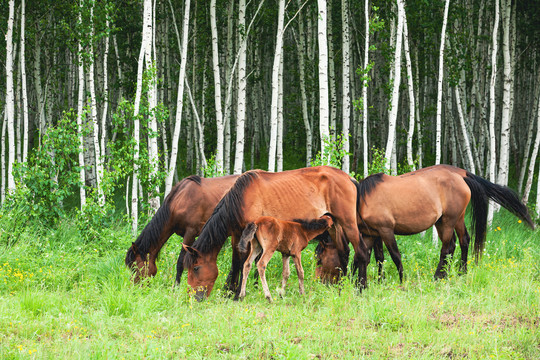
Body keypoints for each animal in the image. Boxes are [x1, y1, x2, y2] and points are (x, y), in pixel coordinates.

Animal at [184, 166, 370, 300]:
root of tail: (349, 178)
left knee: (361, 252)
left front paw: (236, 293)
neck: (241, 199)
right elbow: (237, 263)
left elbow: (244, 263)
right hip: (333, 224)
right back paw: (341, 286)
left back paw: (361, 289)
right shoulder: (237, 236)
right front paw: (228, 292)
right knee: (344, 252)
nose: (194, 297)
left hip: (348, 223)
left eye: (196, 268)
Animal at [316, 164, 532, 282]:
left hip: (448, 221)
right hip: (452, 220)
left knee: (447, 247)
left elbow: (394, 256)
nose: (320, 281)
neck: (361, 199)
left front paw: (401, 280)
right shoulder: (370, 234)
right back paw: (460, 272)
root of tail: (461, 174)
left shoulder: (386, 231)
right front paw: (371, 280)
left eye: (320, 257)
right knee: (463, 241)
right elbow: (368, 258)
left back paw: (439, 276)